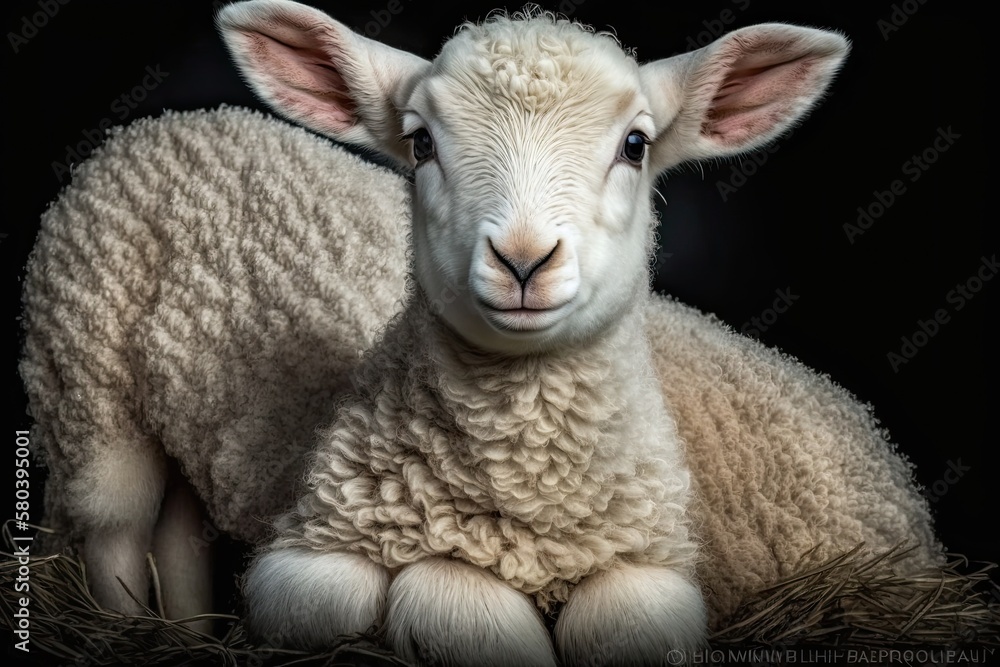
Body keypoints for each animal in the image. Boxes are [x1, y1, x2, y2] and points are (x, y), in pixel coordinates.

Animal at [15, 0, 948, 664]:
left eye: (636, 145)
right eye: (421, 143)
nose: (524, 258)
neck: (525, 484)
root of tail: (165, 122)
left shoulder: (658, 566)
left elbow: (622, 623)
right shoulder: (302, 560)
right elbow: (440, 594)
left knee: (179, 523)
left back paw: (188, 636)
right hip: (86, 377)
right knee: (115, 526)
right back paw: (128, 632)